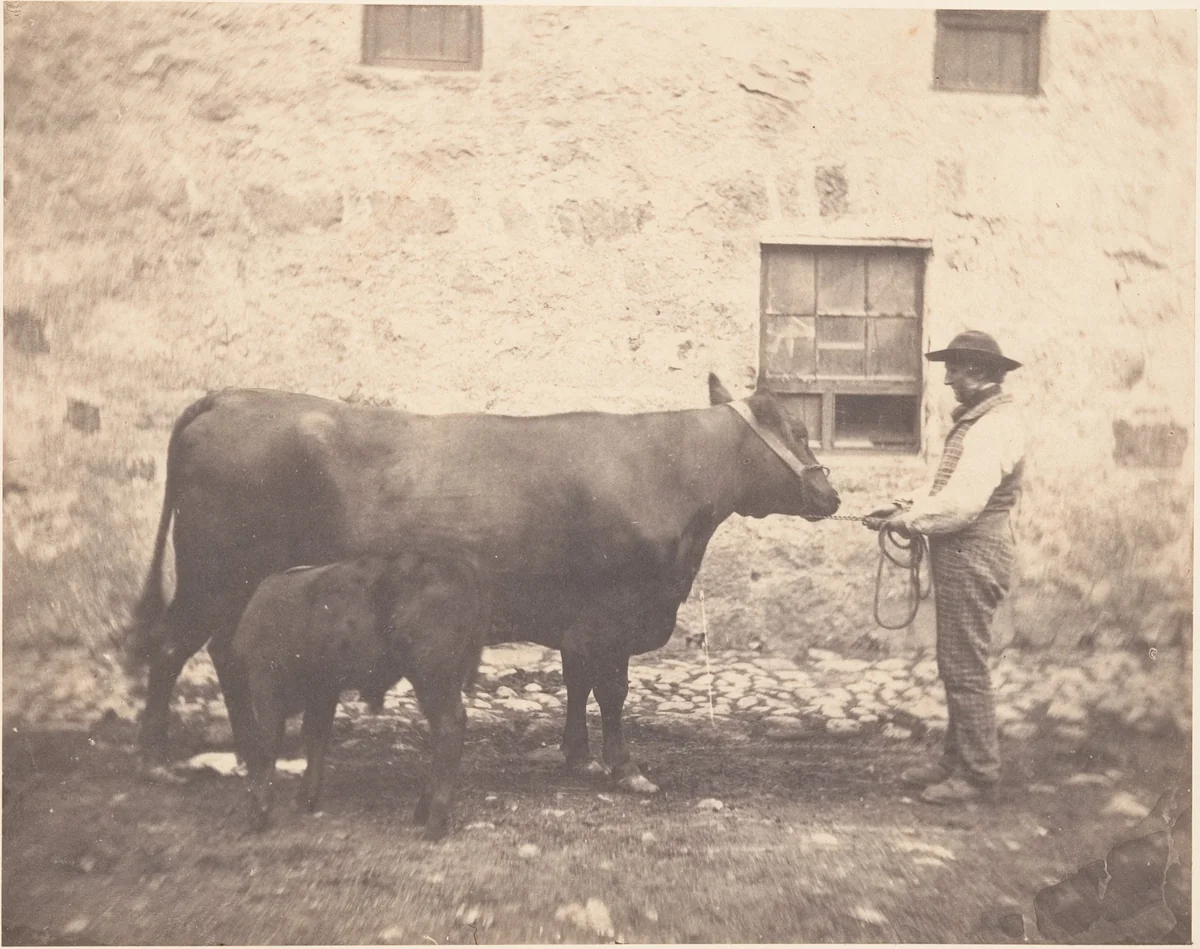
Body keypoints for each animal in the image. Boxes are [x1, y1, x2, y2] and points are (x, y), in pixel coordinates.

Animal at [125, 374, 839, 793]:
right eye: (800, 431)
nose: (831, 494)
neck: (668, 468)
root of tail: (230, 396)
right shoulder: (616, 609)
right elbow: (611, 690)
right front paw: (626, 769)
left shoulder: (578, 616)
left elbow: (577, 682)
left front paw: (577, 757)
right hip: (214, 575)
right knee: (172, 647)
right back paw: (159, 759)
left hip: (240, 584)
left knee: (223, 652)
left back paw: (251, 751)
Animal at [232, 551, 489, 839]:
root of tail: (460, 566)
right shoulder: (322, 691)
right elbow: (315, 737)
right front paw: (304, 800)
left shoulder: (265, 684)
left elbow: (266, 744)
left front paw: (259, 814)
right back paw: (423, 811)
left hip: (432, 678)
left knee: (448, 729)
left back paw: (433, 824)